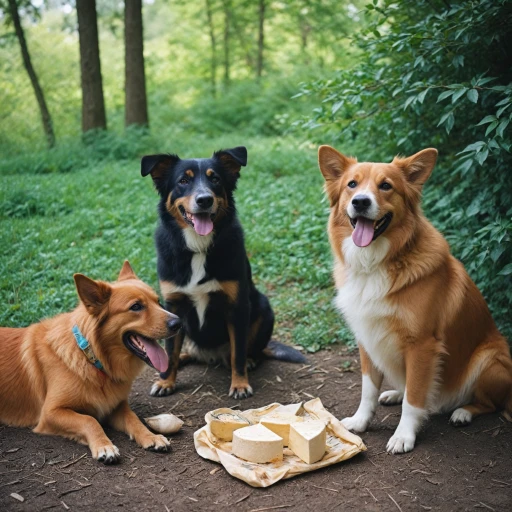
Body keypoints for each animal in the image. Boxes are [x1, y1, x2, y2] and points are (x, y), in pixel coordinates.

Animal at [0, 262, 182, 462]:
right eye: (136, 306)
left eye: (158, 302)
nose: (179, 322)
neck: (91, 358)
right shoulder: (50, 413)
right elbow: (89, 420)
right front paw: (104, 445)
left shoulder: (116, 406)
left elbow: (133, 418)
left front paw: (151, 436)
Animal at [142, 146, 306, 398]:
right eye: (183, 181)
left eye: (215, 179)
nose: (204, 200)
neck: (198, 247)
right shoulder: (174, 305)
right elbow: (170, 351)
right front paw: (165, 381)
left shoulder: (237, 307)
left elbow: (238, 352)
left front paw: (239, 384)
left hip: (263, 306)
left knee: (248, 351)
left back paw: (250, 360)